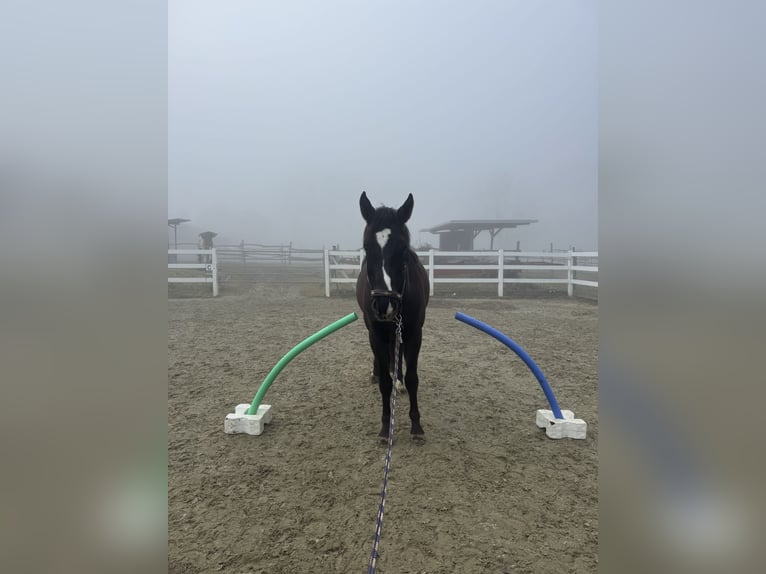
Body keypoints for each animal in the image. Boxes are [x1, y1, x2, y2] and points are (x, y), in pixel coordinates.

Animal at [356, 191, 430, 441]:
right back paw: (377, 372)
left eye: (403, 248)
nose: (383, 304)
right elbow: (385, 385)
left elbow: (413, 378)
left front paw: (416, 426)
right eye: (366, 246)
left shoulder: (414, 333)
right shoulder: (376, 333)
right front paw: (385, 427)